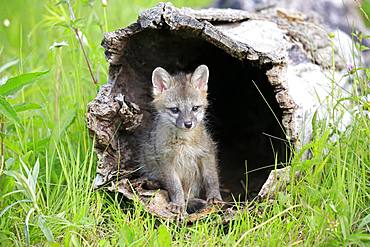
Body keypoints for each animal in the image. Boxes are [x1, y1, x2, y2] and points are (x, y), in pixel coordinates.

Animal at [141, 64, 223, 213]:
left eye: (195, 108)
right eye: (175, 110)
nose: (188, 124)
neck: (184, 143)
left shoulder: (206, 153)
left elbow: (211, 178)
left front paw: (214, 197)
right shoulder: (166, 161)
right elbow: (175, 187)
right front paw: (178, 204)